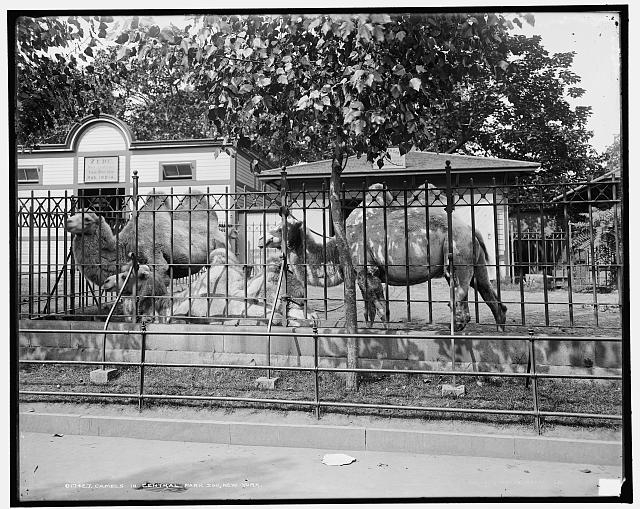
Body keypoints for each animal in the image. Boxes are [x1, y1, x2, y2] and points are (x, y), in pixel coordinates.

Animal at [65, 190, 225, 286]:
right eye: (75, 214)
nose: (68, 222)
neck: (126, 245)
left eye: (87, 219)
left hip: (221, 245)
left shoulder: (155, 258)